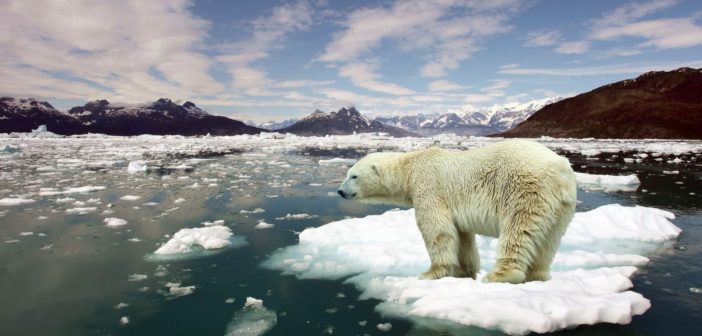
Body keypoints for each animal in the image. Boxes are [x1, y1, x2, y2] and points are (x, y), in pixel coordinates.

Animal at [340, 139, 576, 284]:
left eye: (353, 176)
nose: (341, 191)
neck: (410, 167)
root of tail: (560, 170)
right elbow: (462, 236)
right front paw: (464, 271)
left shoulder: (428, 187)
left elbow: (437, 229)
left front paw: (430, 273)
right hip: (561, 207)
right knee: (549, 240)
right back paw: (538, 275)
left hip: (524, 189)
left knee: (518, 230)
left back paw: (499, 275)